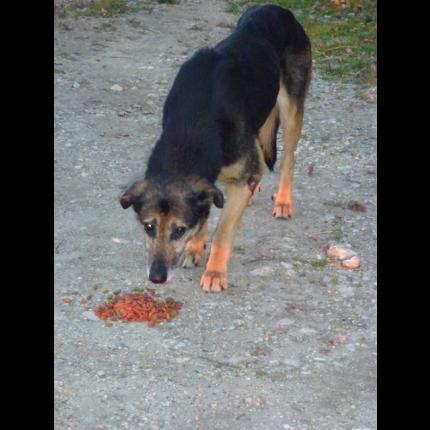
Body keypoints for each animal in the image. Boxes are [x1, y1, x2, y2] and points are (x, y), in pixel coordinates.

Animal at [120, 4, 312, 292]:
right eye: (148, 227)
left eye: (179, 230)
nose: (157, 277)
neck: (191, 133)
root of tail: (275, 9)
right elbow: (208, 208)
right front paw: (196, 246)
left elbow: (223, 231)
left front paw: (215, 272)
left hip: (291, 110)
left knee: (288, 158)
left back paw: (283, 200)